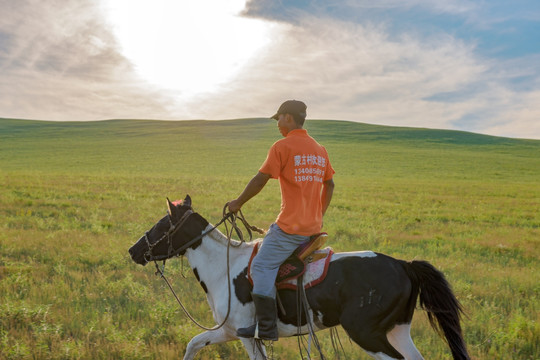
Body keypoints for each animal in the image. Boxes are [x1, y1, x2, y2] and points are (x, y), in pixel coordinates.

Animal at [129, 197, 470, 360]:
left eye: (162, 225)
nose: (134, 251)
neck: (223, 268)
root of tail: (403, 265)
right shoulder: (228, 331)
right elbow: (193, 345)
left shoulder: (246, 335)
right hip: (397, 329)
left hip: (366, 333)